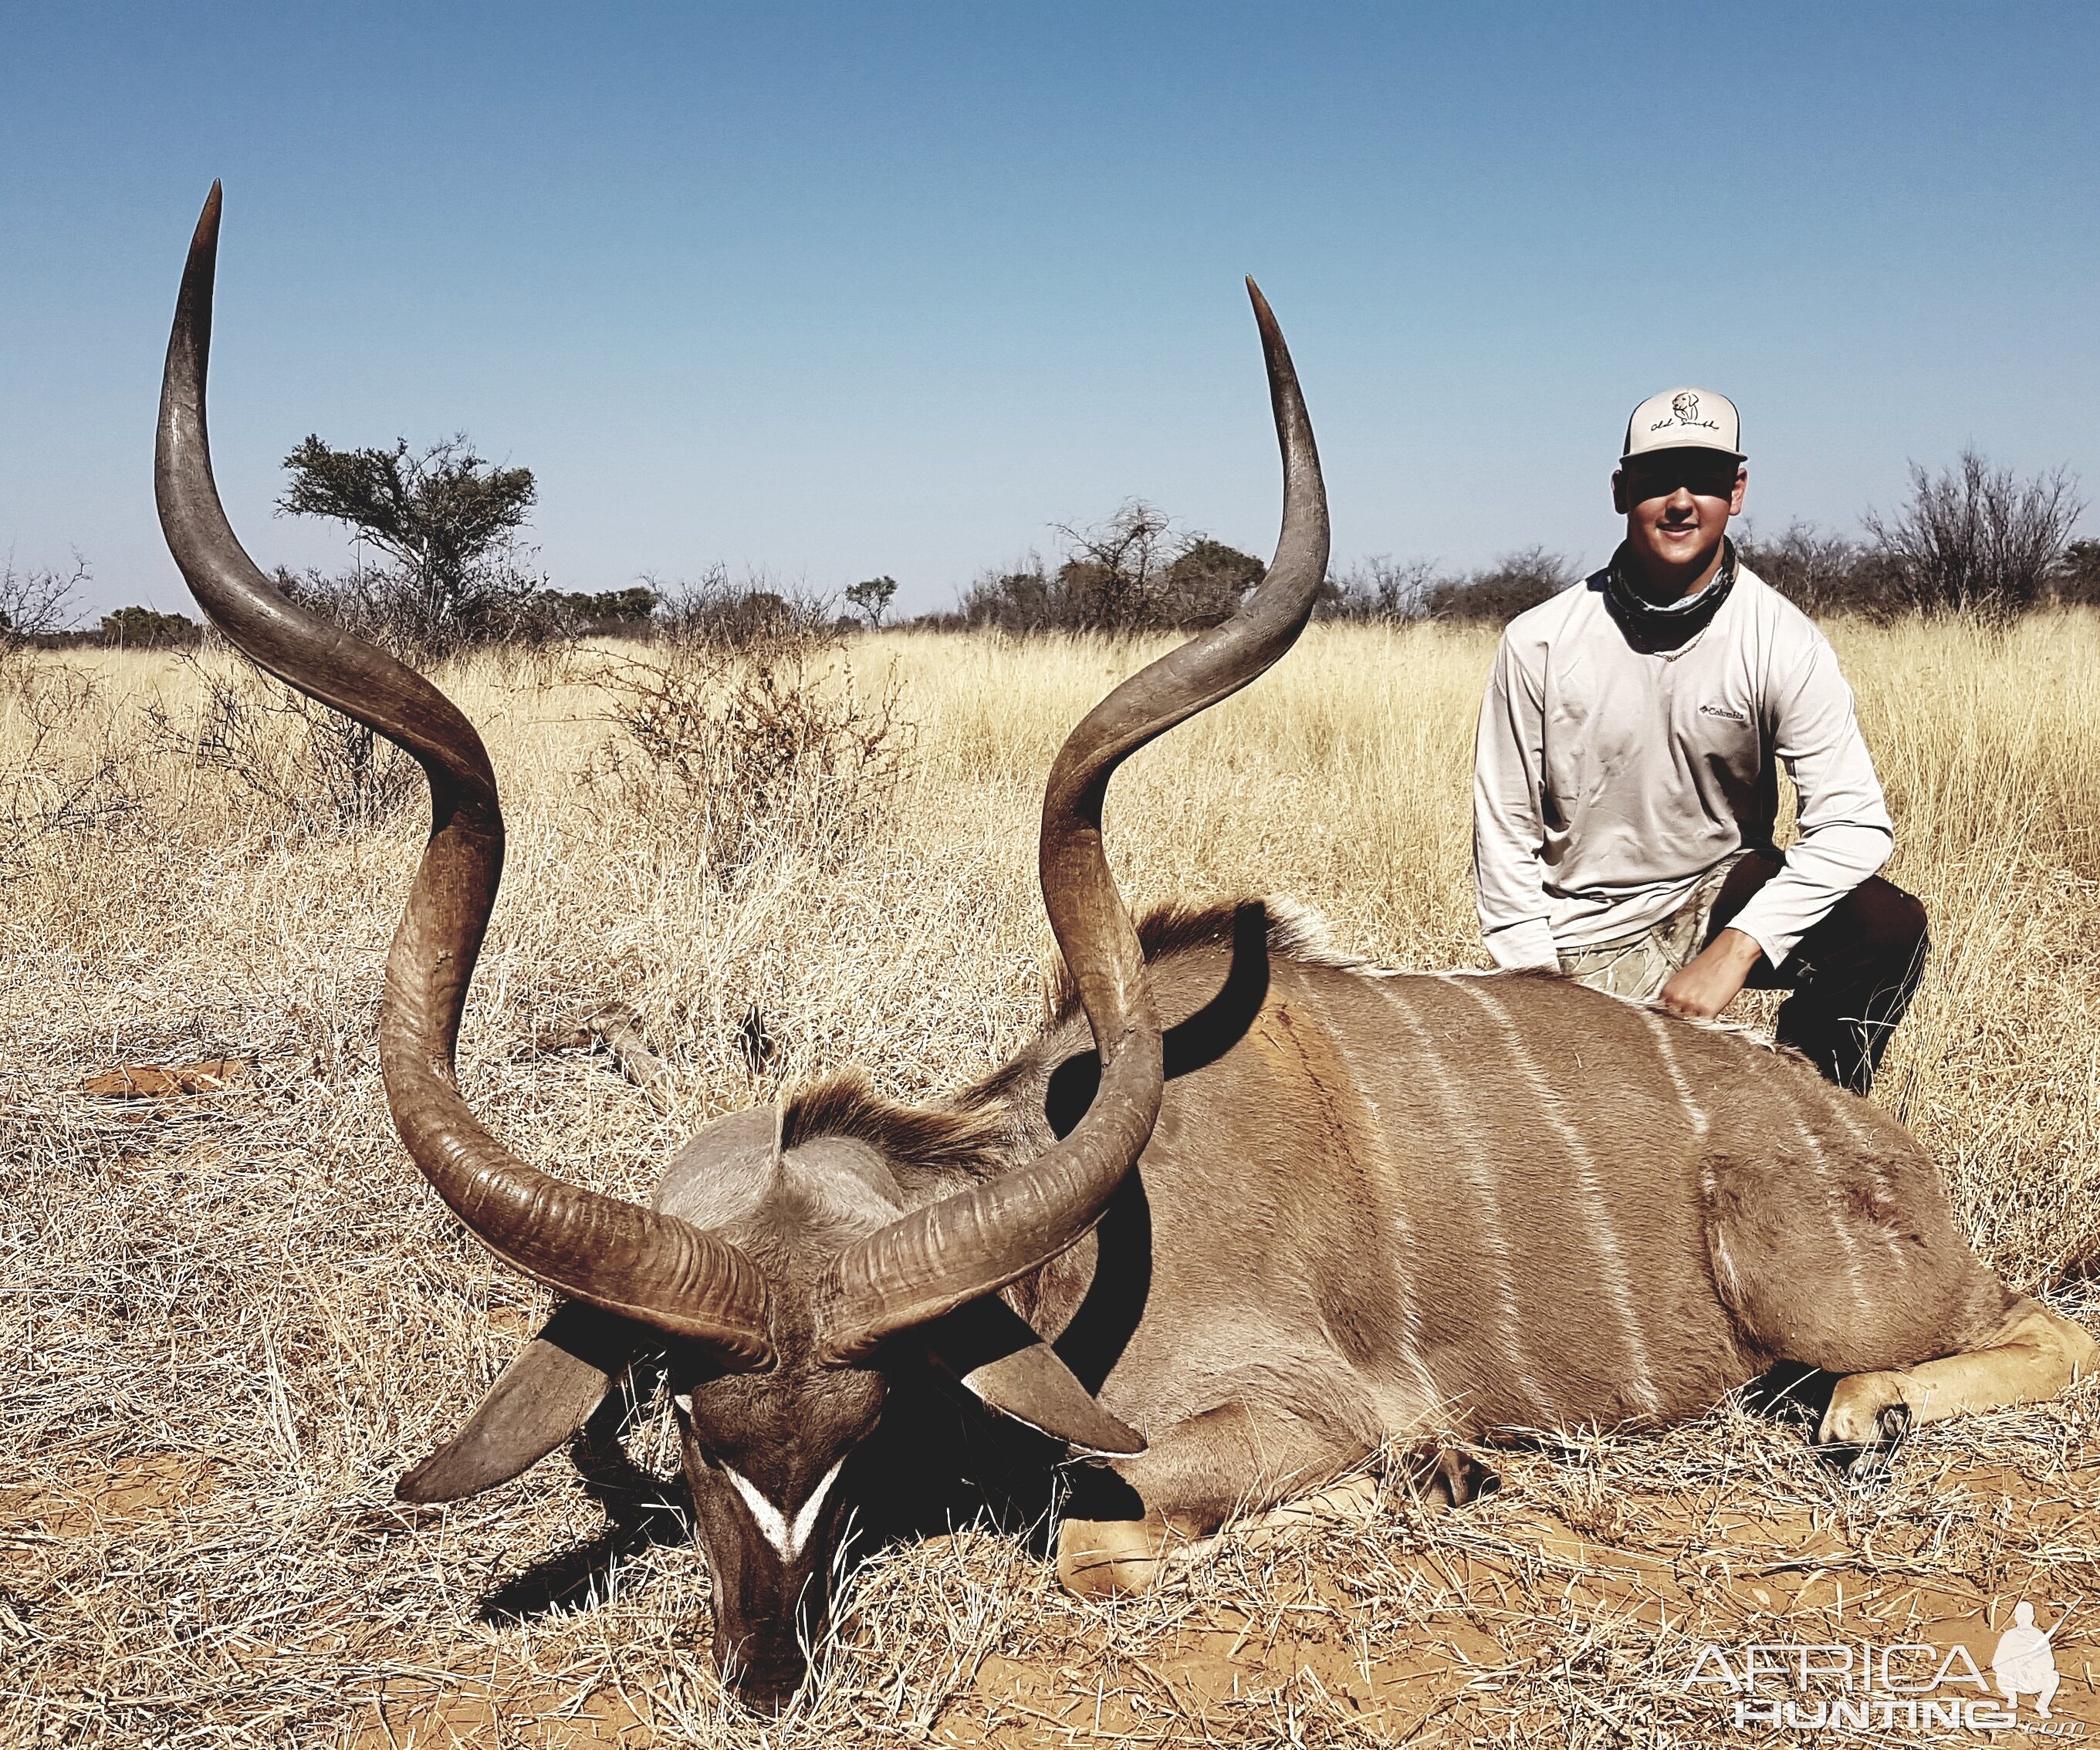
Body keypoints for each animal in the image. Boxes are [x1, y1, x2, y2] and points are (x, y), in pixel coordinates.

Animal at [155, 184, 2092, 1695]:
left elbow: (1099, 1532)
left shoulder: (1265, 1416)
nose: (768, 1671)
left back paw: (1858, 1412)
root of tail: (1870, 1146)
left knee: (2027, 1328)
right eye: (700, 1429)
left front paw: (1435, 1476)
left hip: (1829, 1288)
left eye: (861, 1427)